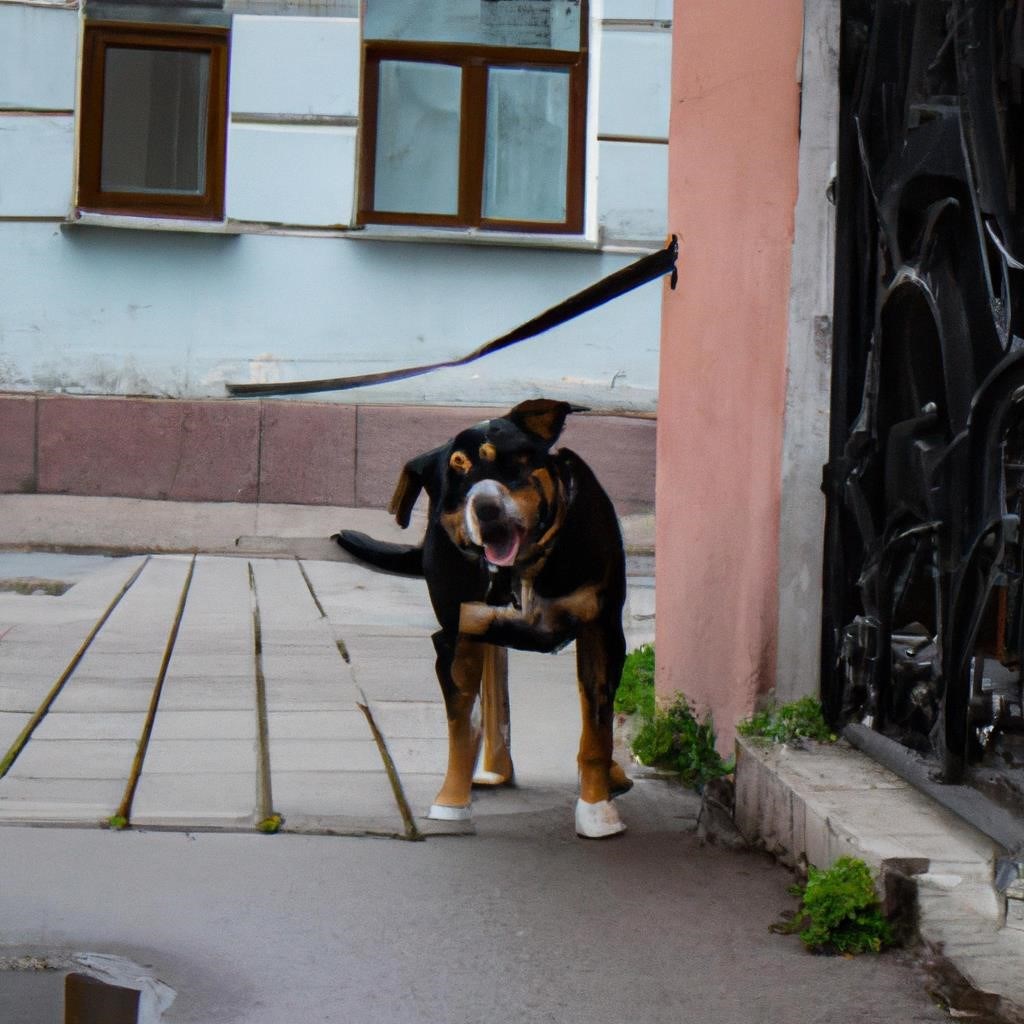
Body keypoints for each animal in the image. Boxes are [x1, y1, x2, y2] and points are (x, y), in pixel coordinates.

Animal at [335, 395, 630, 835]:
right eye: (456, 472)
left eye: (510, 462)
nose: (487, 507)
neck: (523, 570)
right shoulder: (457, 637)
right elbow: (463, 729)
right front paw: (451, 803)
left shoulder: (601, 632)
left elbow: (597, 730)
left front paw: (598, 811)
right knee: (493, 699)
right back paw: (494, 770)